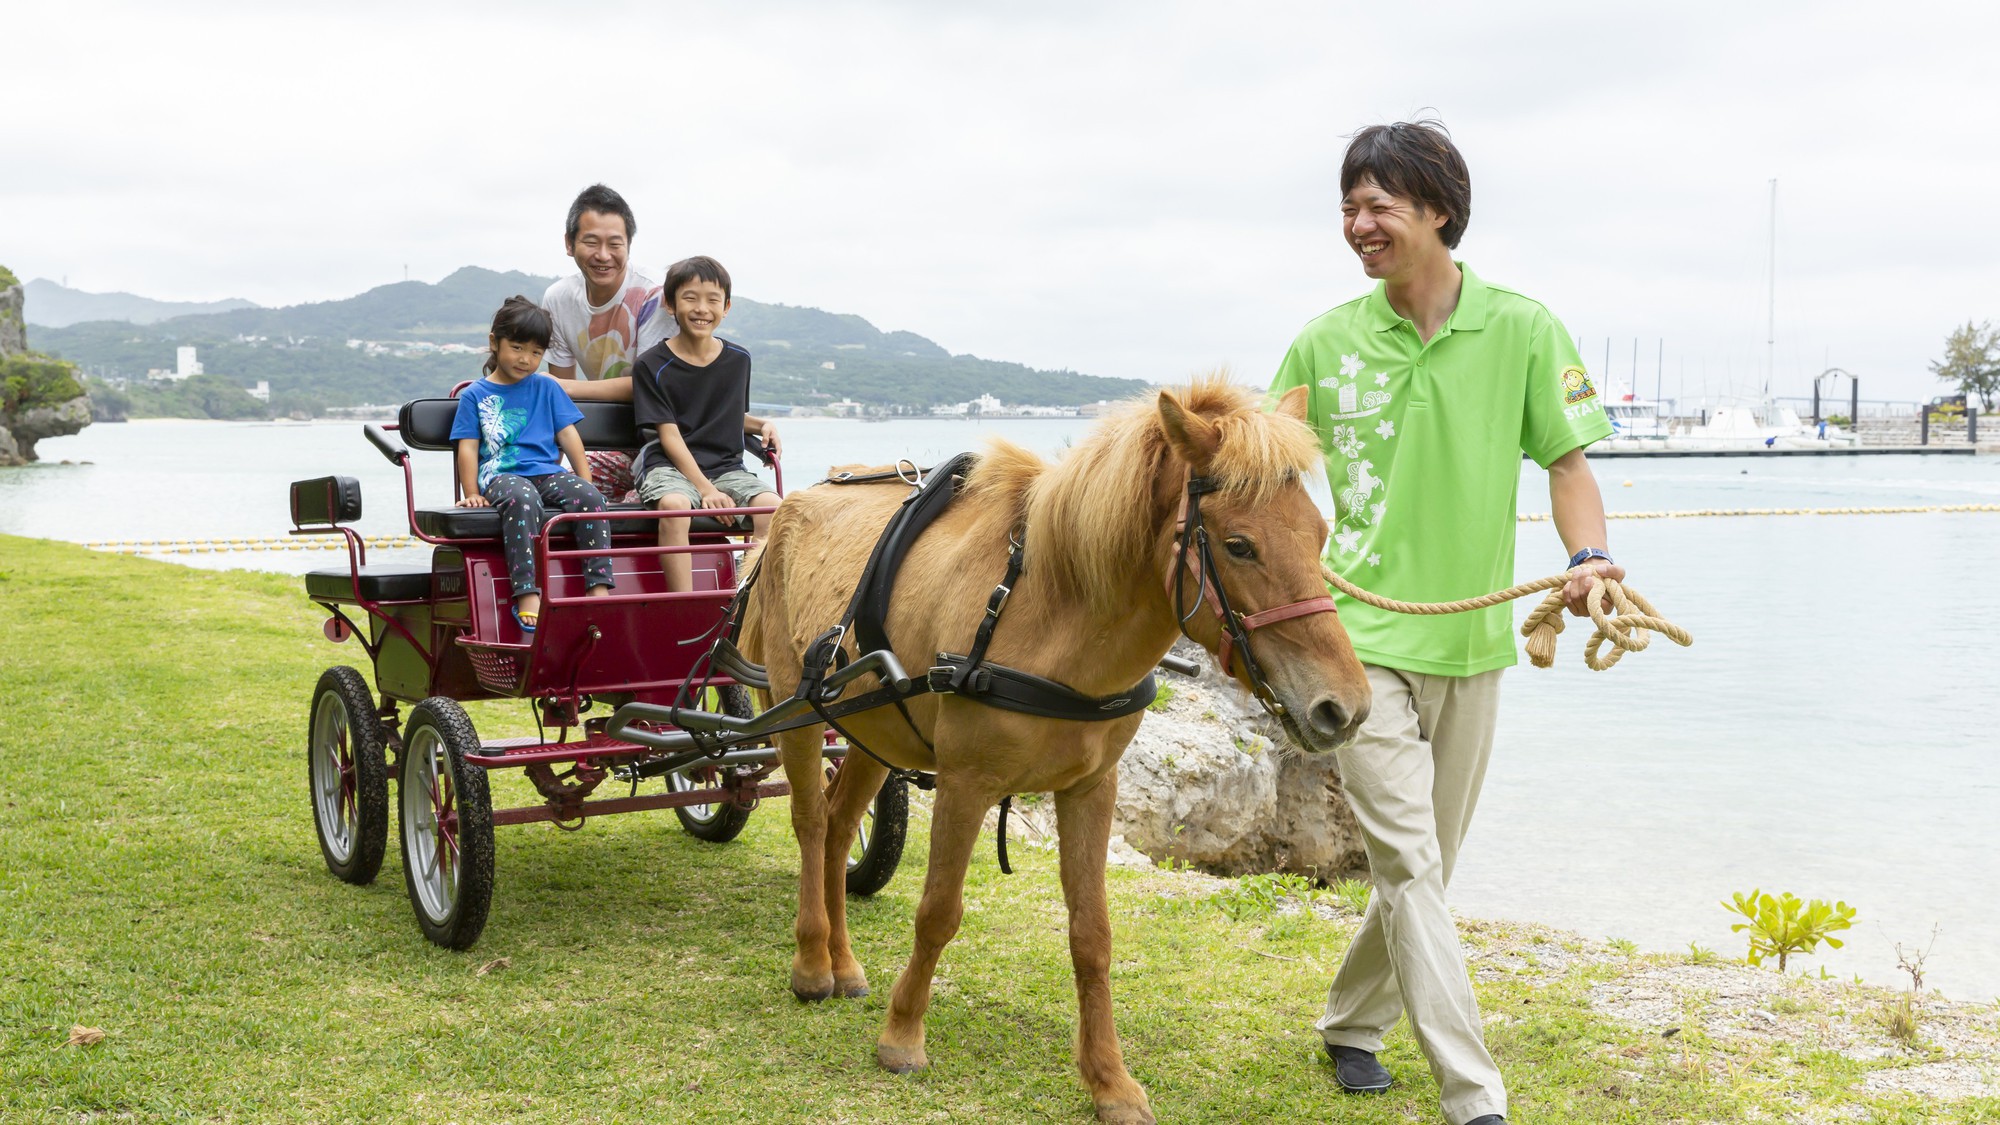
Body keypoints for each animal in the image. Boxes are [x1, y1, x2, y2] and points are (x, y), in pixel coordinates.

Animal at [744, 378, 1368, 1120]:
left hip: (873, 727)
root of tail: (793, 506)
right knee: (812, 823)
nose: (1345, 706)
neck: (1047, 610)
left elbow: (1092, 935)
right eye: (1240, 545)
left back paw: (841, 961)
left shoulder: (1091, 788)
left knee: (841, 826)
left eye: (1321, 535)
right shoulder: (965, 784)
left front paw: (1109, 1078)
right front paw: (902, 1033)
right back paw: (813, 961)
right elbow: (938, 912)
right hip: (799, 706)